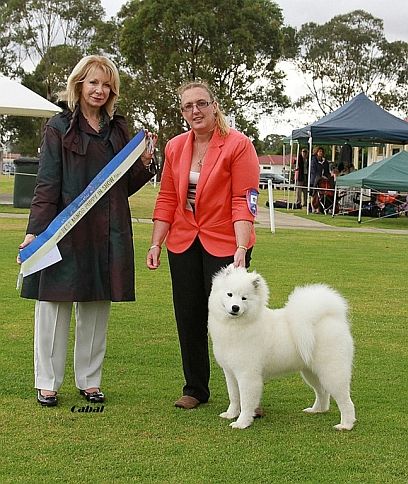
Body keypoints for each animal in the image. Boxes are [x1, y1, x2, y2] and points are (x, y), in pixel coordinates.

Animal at [209, 264, 356, 432]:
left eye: (244, 298)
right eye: (229, 294)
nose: (235, 307)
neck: (236, 327)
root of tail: (332, 318)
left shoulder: (247, 375)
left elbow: (246, 402)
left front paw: (242, 423)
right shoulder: (230, 372)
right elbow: (234, 397)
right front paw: (230, 414)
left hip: (332, 372)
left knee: (345, 401)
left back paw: (346, 425)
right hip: (311, 372)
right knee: (322, 392)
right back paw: (316, 410)